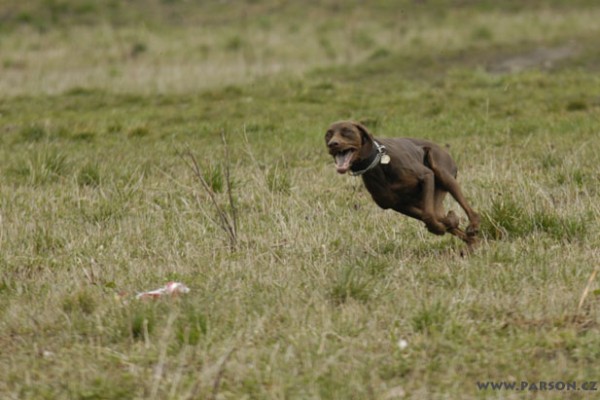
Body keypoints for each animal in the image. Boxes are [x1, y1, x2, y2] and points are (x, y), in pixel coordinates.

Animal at [326, 120, 480, 245]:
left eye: (347, 131)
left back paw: (473, 226)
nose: (332, 144)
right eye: (328, 134)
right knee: (446, 220)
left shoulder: (426, 176)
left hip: (443, 174)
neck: (378, 164)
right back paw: (470, 241)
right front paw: (444, 224)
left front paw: (440, 226)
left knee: (470, 211)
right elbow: (431, 218)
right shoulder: (397, 205)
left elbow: (428, 216)